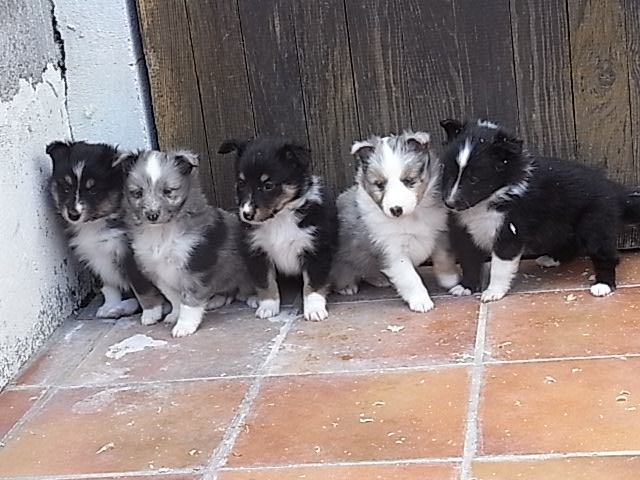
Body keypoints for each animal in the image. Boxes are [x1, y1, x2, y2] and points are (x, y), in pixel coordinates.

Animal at [47, 141, 162, 320]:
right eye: (66, 187)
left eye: (93, 190)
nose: (73, 215)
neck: (94, 223)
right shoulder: (92, 256)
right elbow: (107, 286)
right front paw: (110, 305)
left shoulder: (129, 254)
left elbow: (140, 286)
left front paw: (152, 313)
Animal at [117, 149, 255, 338]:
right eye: (137, 193)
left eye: (168, 191)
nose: (152, 215)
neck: (161, 232)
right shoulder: (157, 271)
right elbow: (174, 298)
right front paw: (174, 315)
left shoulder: (195, 266)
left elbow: (189, 301)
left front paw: (184, 326)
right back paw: (216, 299)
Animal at [218, 137, 338, 320]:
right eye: (241, 183)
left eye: (268, 185)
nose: (246, 214)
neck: (279, 219)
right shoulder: (257, 252)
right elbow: (266, 282)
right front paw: (267, 306)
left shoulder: (316, 249)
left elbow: (313, 283)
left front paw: (314, 310)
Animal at [330, 131, 460, 312]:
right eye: (379, 184)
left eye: (409, 180)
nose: (396, 209)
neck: (412, 216)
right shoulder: (393, 251)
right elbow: (410, 277)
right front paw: (421, 301)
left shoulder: (439, 232)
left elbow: (444, 258)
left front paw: (451, 281)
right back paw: (347, 286)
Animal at [438, 118, 640, 302]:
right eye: (449, 173)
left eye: (474, 179)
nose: (450, 203)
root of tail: (614, 190)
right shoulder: (466, 233)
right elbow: (469, 261)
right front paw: (466, 287)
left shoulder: (509, 231)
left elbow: (499, 266)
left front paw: (493, 292)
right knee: (571, 244)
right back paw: (551, 259)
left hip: (595, 223)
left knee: (605, 254)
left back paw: (603, 284)